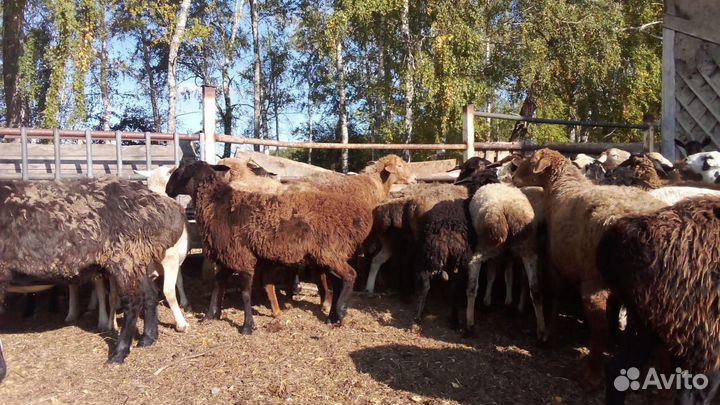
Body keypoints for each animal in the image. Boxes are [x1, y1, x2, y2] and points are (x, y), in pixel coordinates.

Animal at [0, 177, 186, 376]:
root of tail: (169, 208)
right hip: (136, 258)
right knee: (149, 294)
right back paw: (147, 339)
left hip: (125, 256)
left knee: (133, 303)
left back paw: (118, 354)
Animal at [164, 158, 413, 332]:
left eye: (178, 172)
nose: (167, 191)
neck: (217, 203)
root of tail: (360, 217)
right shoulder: (228, 255)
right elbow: (218, 285)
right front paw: (210, 316)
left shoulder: (241, 257)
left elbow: (244, 293)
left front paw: (247, 326)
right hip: (328, 254)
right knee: (338, 280)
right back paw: (332, 314)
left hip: (328, 252)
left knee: (350, 275)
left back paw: (340, 311)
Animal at [464, 183, 547, 341]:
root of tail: (506, 209)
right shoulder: (508, 256)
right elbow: (506, 276)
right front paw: (507, 300)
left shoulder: (499, 256)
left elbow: (493, 275)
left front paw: (488, 300)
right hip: (527, 250)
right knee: (535, 289)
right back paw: (541, 331)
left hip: (487, 245)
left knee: (473, 276)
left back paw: (470, 322)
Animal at [511, 148, 668, 389]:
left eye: (530, 162)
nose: (513, 178)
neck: (563, 189)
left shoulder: (557, 265)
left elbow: (555, 300)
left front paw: (549, 335)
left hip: (595, 282)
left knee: (599, 328)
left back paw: (592, 376)